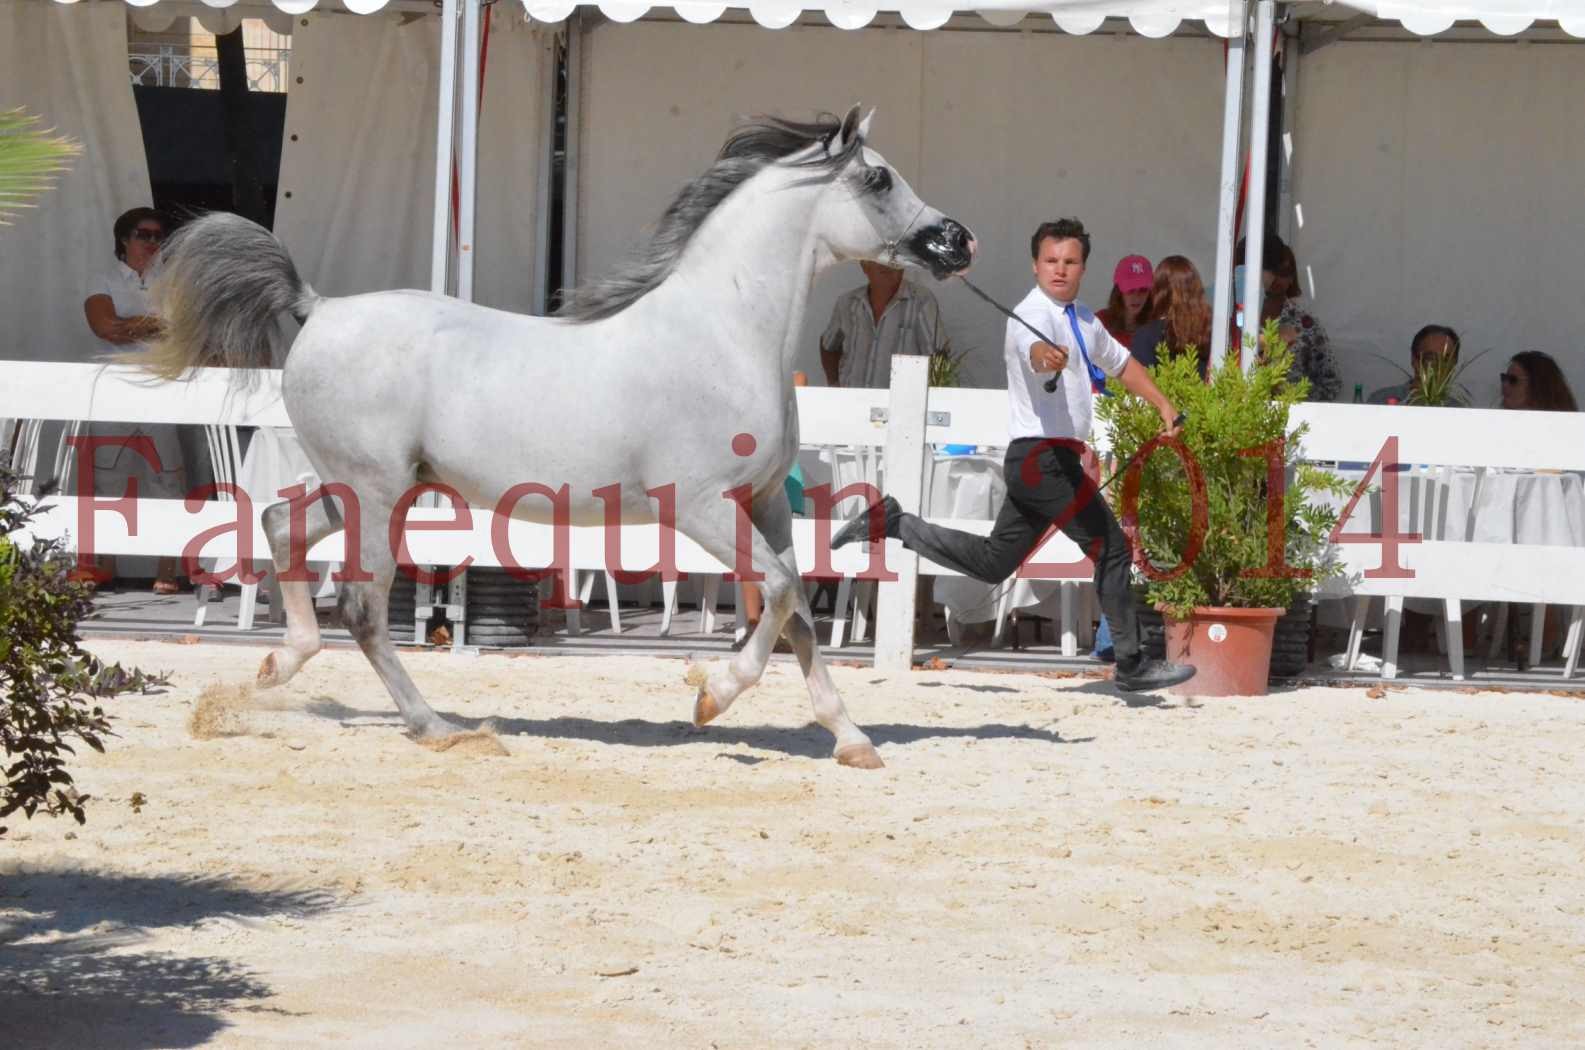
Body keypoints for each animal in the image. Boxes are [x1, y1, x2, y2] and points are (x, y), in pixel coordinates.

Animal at [139, 103, 976, 770]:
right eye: (878, 178)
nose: (956, 241)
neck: (723, 334)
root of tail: (319, 307)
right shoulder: (699, 507)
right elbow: (774, 591)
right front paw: (711, 693)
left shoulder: (764, 504)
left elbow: (797, 606)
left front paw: (851, 740)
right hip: (375, 494)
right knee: (363, 606)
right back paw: (435, 727)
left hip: (372, 486)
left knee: (282, 524)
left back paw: (279, 665)